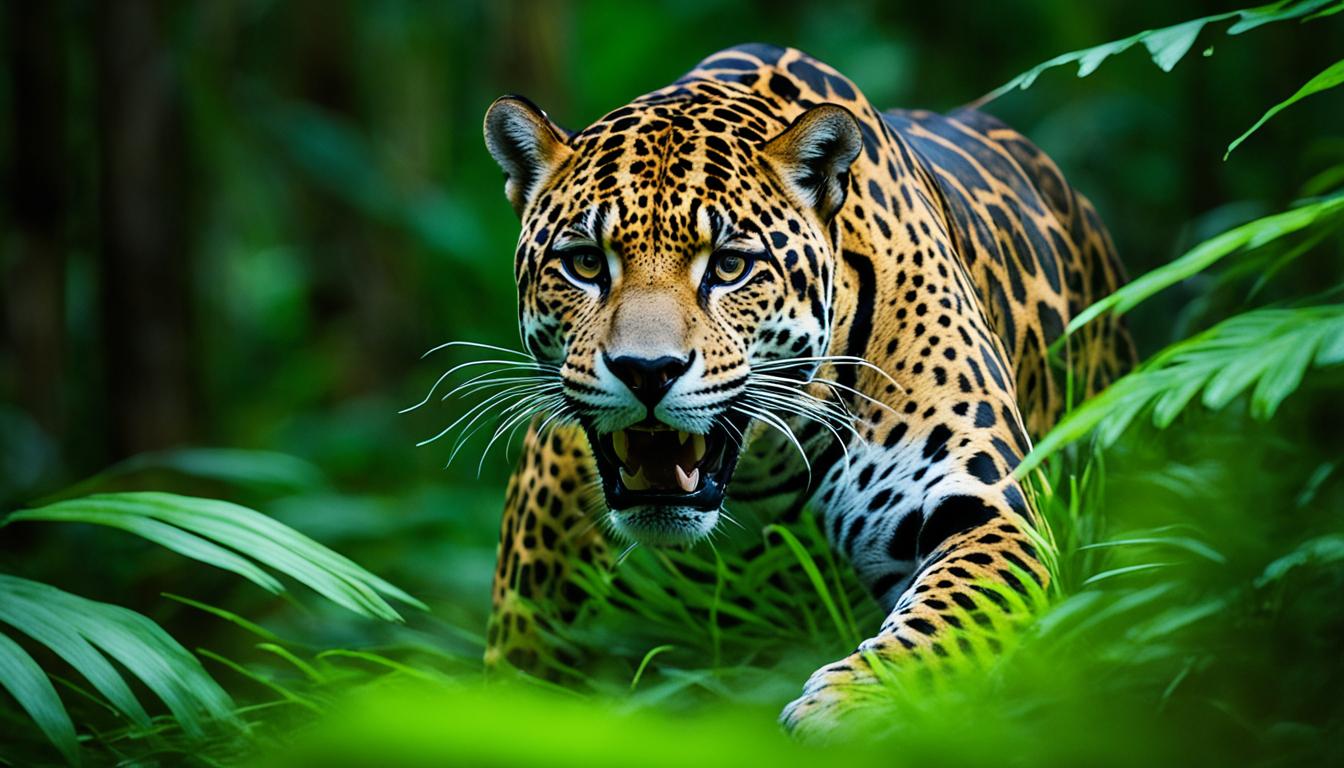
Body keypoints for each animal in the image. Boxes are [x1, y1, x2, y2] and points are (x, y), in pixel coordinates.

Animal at [474, 43, 1134, 734]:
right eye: (584, 263)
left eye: (730, 266)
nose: (646, 370)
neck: (756, 479)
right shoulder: (531, 622)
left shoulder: (986, 505)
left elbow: (949, 614)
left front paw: (850, 702)